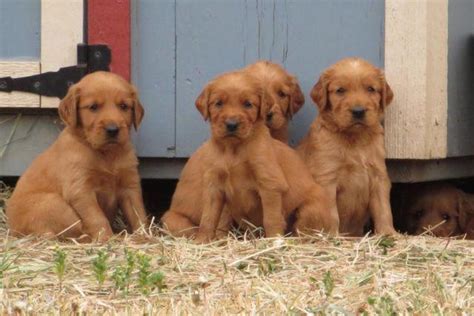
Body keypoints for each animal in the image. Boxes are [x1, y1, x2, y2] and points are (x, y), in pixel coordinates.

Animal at [6, 71, 146, 242]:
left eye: (124, 106)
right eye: (93, 107)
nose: (113, 129)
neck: (106, 154)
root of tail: (13, 230)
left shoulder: (130, 186)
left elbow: (138, 214)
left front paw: (146, 236)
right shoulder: (81, 190)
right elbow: (97, 218)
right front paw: (106, 239)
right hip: (54, 204)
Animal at [162, 71, 336, 242]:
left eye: (248, 104)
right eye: (218, 103)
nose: (232, 124)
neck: (233, 149)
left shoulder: (269, 184)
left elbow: (271, 218)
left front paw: (274, 241)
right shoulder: (215, 186)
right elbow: (209, 218)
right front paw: (203, 241)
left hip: (311, 207)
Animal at [296, 58, 396, 236]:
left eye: (370, 89)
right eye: (340, 90)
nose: (358, 111)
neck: (355, 139)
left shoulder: (379, 176)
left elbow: (383, 208)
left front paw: (388, 233)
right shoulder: (327, 179)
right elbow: (331, 214)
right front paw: (332, 236)